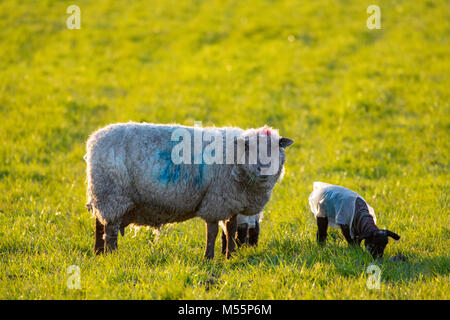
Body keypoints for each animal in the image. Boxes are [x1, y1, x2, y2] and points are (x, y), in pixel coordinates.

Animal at [85, 121, 294, 258]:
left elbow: (231, 229)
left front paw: (230, 256)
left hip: (104, 195)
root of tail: (94, 140)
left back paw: (98, 253)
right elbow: (213, 232)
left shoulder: (232, 202)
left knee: (99, 223)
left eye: (275, 148)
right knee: (110, 229)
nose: (263, 170)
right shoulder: (216, 200)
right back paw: (112, 255)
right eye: (250, 148)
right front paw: (209, 258)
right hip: (112, 193)